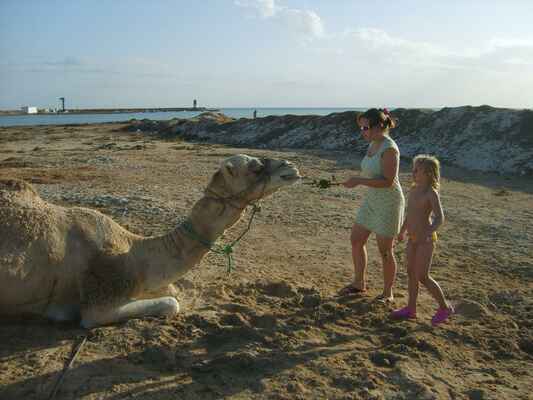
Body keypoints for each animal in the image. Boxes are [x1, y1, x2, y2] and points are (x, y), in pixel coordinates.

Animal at [0, 154, 300, 328]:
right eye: (255, 167)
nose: (292, 167)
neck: (134, 251)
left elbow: (173, 290)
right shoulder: (99, 301)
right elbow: (171, 303)